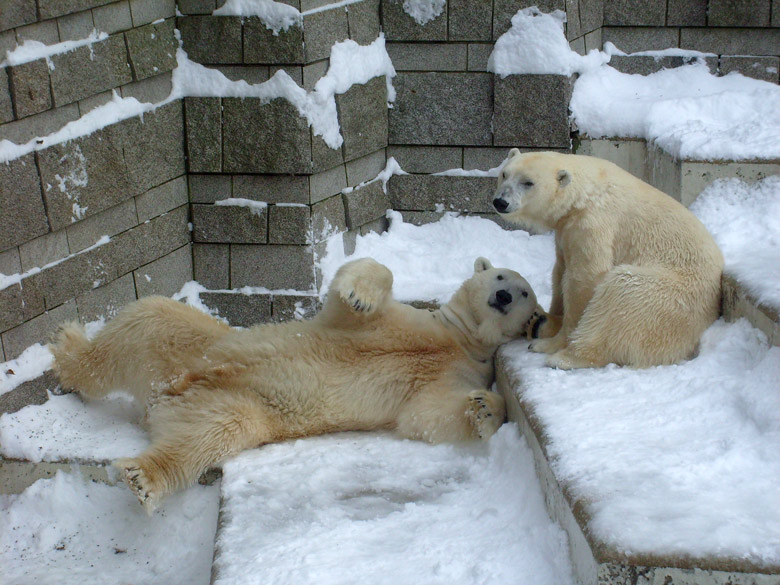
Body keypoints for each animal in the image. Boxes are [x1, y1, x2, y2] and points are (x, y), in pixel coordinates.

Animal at [51, 256, 540, 512]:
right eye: (501, 277)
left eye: (526, 292)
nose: (503, 296)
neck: (459, 339)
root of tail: (163, 394)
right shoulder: (407, 321)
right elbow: (358, 290)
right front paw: (361, 292)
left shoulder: (456, 371)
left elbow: (427, 415)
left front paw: (484, 408)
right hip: (195, 342)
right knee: (143, 320)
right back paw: (66, 347)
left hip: (231, 401)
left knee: (211, 431)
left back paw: (144, 477)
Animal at [494, 151, 724, 370]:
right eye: (504, 174)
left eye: (528, 182)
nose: (500, 201)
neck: (584, 194)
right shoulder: (566, 230)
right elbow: (560, 270)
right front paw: (549, 318)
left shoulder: (594, 224)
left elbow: (584, 278)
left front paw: (553, 343)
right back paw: (539, 321)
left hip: (670, 298)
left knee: (620, 295)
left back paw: (565, 357)